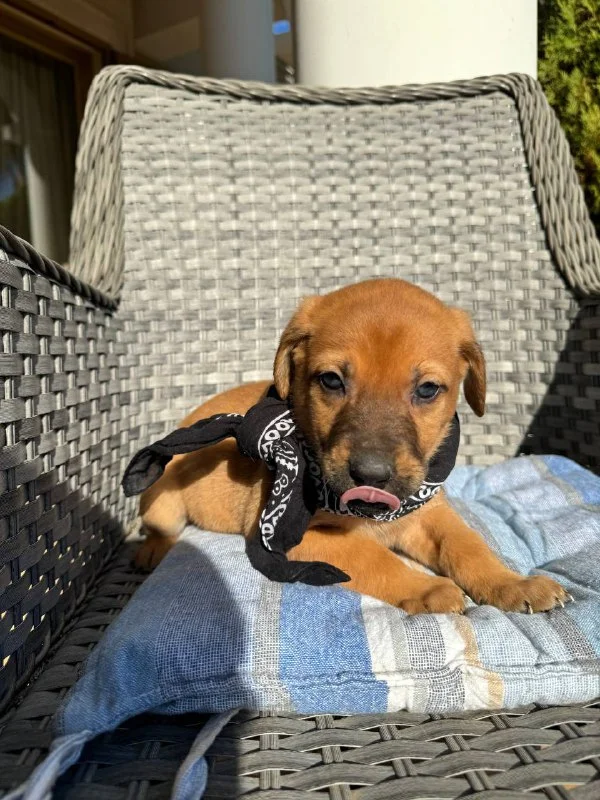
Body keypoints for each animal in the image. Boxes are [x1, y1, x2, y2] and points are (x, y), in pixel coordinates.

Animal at [135, 278, 568, 614]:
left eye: (428, 389)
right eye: (331, 381)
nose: (371, 476)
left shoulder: (429, 514)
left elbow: (467, 546)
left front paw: (512, 584)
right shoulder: (298, 538)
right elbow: (374, 557)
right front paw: (427, 588)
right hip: (163, 502)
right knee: (158, 528)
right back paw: (153, 550)